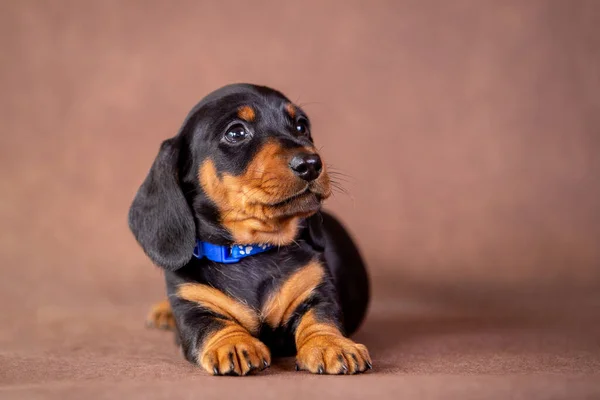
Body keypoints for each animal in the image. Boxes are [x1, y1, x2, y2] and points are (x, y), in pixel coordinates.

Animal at [129, 83, 368, 376]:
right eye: (236, 132)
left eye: (301, 126)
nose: (311, 164)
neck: (250, 250)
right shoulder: (193, 305)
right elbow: (214, 324)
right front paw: (233, 344)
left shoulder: (317, 290)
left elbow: (321, 317)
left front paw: (330, 344)